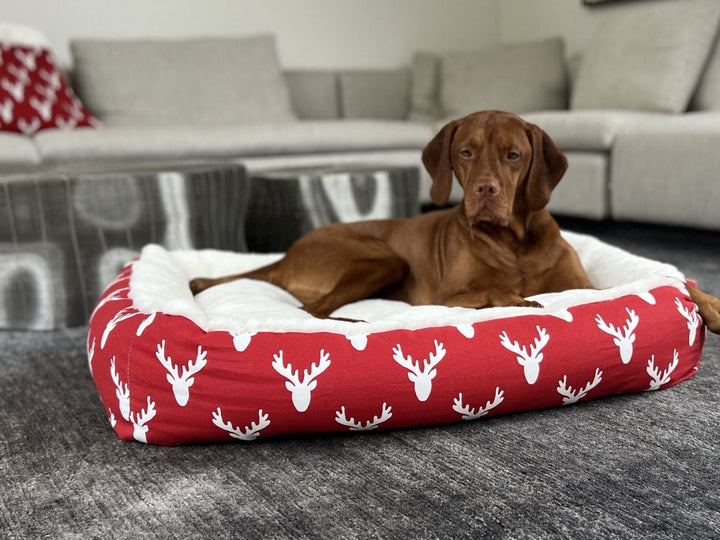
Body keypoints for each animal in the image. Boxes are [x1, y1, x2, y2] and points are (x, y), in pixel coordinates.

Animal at [190, 110, 720, 334]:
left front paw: (708, 303)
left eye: (513, 154)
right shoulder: (448, 295)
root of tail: (285, 255)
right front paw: (517, 299)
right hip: (380, 259)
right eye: (466, 152)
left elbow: (667, 279)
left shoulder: (584, 287)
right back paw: (355, 320)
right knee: (310, 311)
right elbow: (495, 290)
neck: (515, 241)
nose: (484, 191)